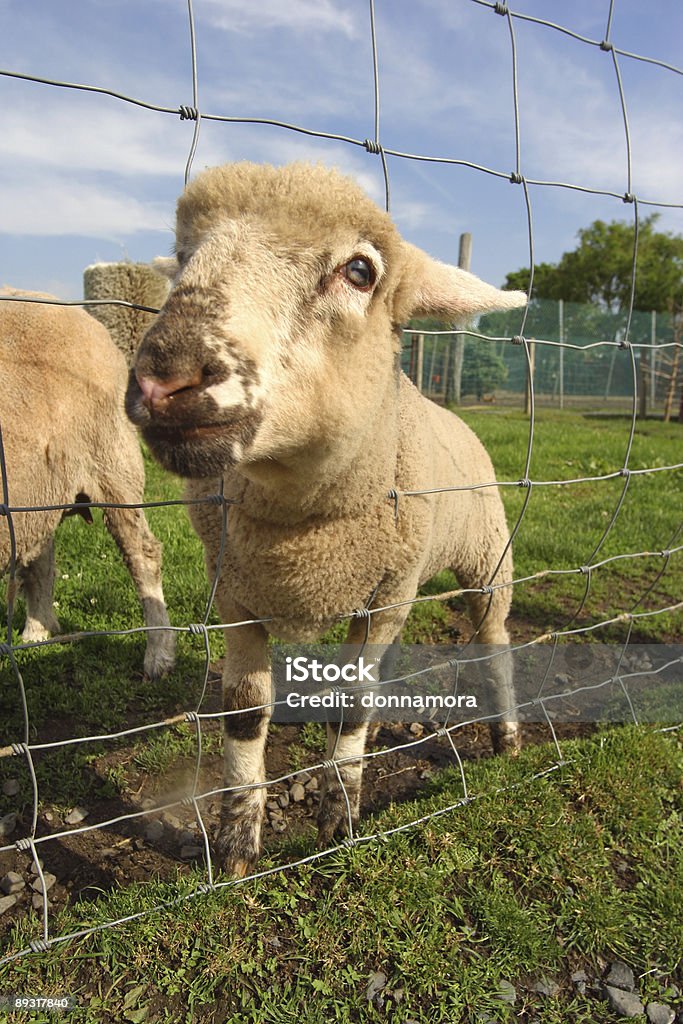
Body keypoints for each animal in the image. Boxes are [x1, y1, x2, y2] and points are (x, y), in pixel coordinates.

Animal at [0, 286, 176, 679]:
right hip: (41, 485)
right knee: (41, 553)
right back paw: (37, 631)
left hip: (113, 466)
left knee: (144, 553)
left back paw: (158, 653)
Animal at [124, 163, 528, 876]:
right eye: (182, 257)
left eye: (361, 271)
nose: (161, 380)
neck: (301, 524)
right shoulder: (235, 595)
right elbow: (244, 714)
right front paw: (237, 842)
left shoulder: (389, 598)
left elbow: (357, 707)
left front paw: (340, 817)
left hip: (489, 559)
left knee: (493, 639)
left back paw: (505, 734)